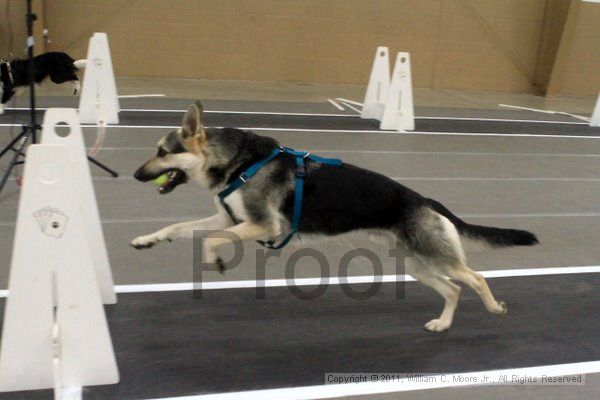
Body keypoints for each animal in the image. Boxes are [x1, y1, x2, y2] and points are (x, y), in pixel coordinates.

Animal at [132, 100, 540, 332]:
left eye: (163, 152)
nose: (135, 175)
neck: (237, 162)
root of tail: (424, 199)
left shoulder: (261, 225)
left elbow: (211, 240)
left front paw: (214, 259)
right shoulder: (232, 221)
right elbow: (181, 227)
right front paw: (147, 239)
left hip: (436, 259)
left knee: (476, 278)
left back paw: (493, 307)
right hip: (417, 265)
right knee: (454, 289)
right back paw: (443, 324)